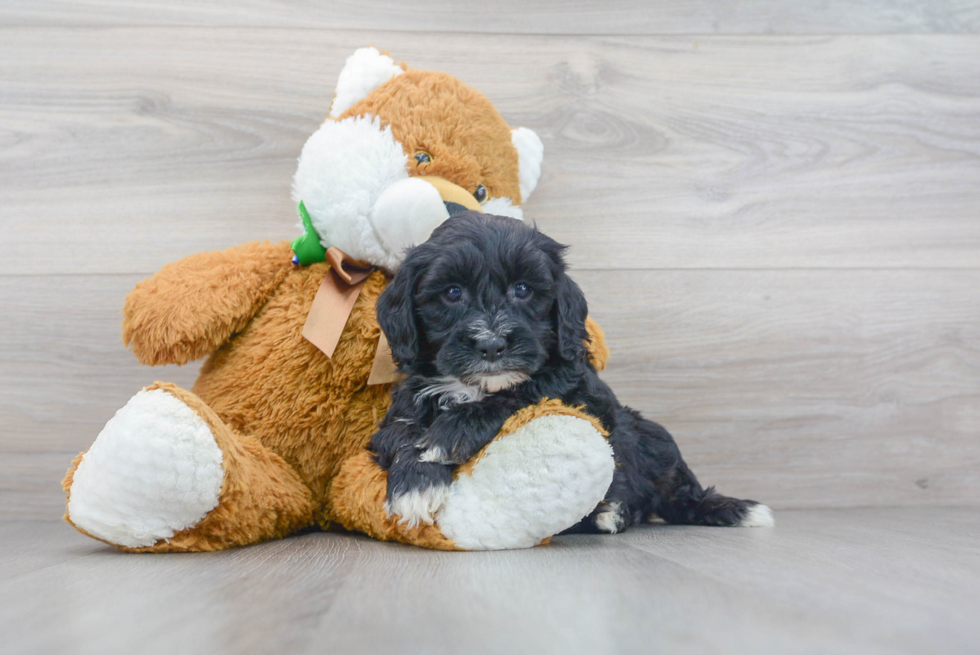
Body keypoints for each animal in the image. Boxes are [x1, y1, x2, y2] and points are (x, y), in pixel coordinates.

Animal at [370, 214, 772, 532]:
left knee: (671, 490)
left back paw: (622, 510)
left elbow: (520, 395)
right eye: (453, 292)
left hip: (650, 434)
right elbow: (402, 435)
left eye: (523, 289)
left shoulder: (578, 393)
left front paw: (448, 434)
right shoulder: (401, 409)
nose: (492, 345)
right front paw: (414, 483)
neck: (477, 386)